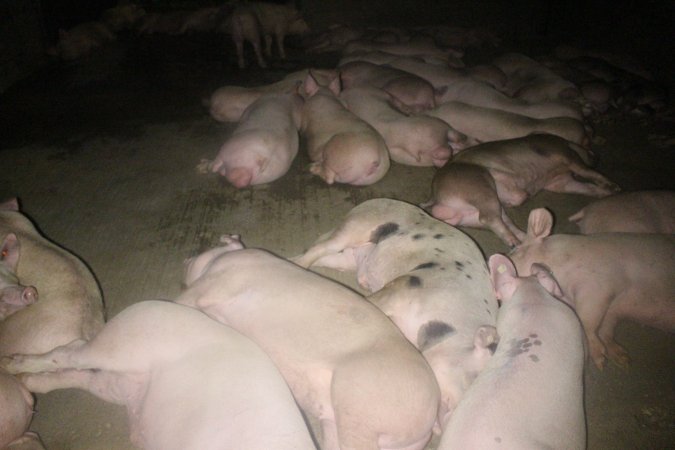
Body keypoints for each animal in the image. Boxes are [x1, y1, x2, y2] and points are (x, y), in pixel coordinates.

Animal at [1, 300, 315, 450]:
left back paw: (28, 384)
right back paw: (11, 365)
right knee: (71, 351)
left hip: (121, 385)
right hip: (124, 341)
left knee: (83, 376)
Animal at [176, 234, 440, 450]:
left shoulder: (218, 280)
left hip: (360, 399)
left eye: (207, 248)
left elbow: (185, 299)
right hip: (338, 420)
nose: (186, 256)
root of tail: (429, 417)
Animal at [292, 198, 499, 430]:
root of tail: (375, 201)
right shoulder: (408, 285)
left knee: (327, 257)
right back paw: (295, 266)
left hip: (349, 257)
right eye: (473, 379)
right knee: (322, 246)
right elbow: (371, 302)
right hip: (360, 224)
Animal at [422, 134, 620, 248]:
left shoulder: (560, 183)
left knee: (501, 220)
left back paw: (525, 240)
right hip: (480, 185)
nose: (596, 156)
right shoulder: (566, 156)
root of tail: (435, 196)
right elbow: (588, 172)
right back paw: (514, 243)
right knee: (489, 217)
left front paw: (608, 193)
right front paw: (615, 187)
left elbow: (587, 187)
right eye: (590, 150)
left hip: (476, 214)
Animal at [509, 208, 675, 369]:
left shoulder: (600, 288)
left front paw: (601, 362)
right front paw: (622, 360)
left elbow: (587, 319)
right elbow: (605, 329)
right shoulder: (612, 309)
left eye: (516, 249)